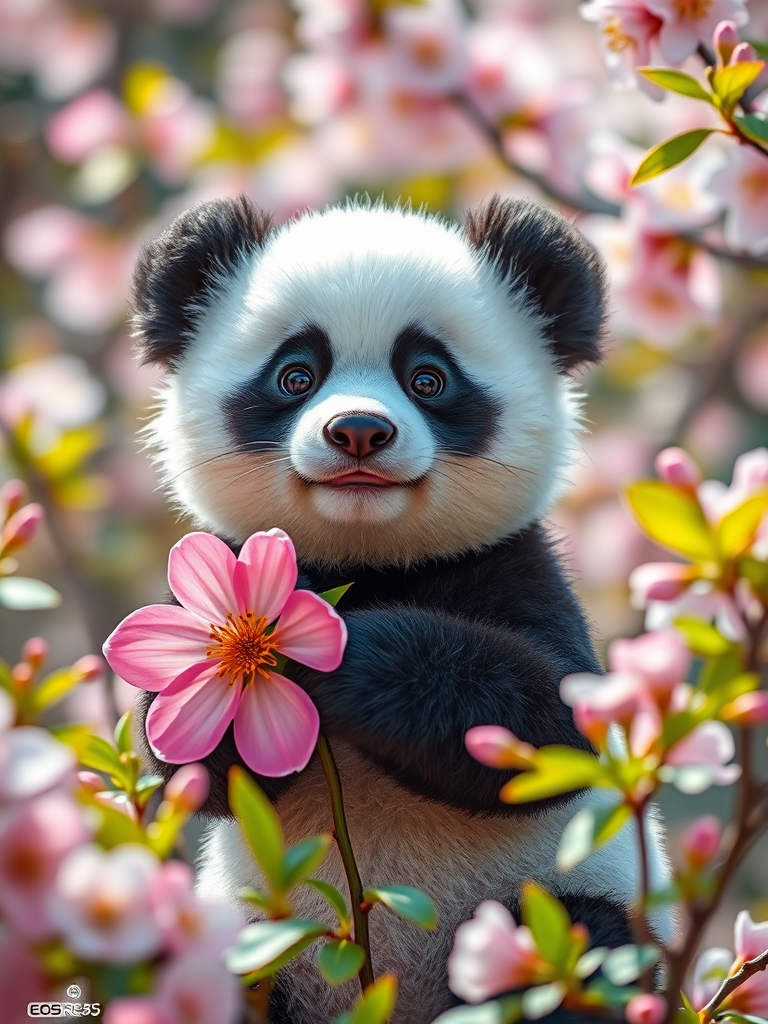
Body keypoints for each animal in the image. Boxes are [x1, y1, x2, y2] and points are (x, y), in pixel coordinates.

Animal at [131, 194, 674, 1024]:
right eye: (296, 374)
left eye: (427, 378)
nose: (358, 430)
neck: (370, 560)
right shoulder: (215, 568)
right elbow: (193, 768)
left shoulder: (516, 569)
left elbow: (548, 724)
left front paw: (338, 652)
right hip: (253, 942)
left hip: (556, 917)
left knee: (582, 939)